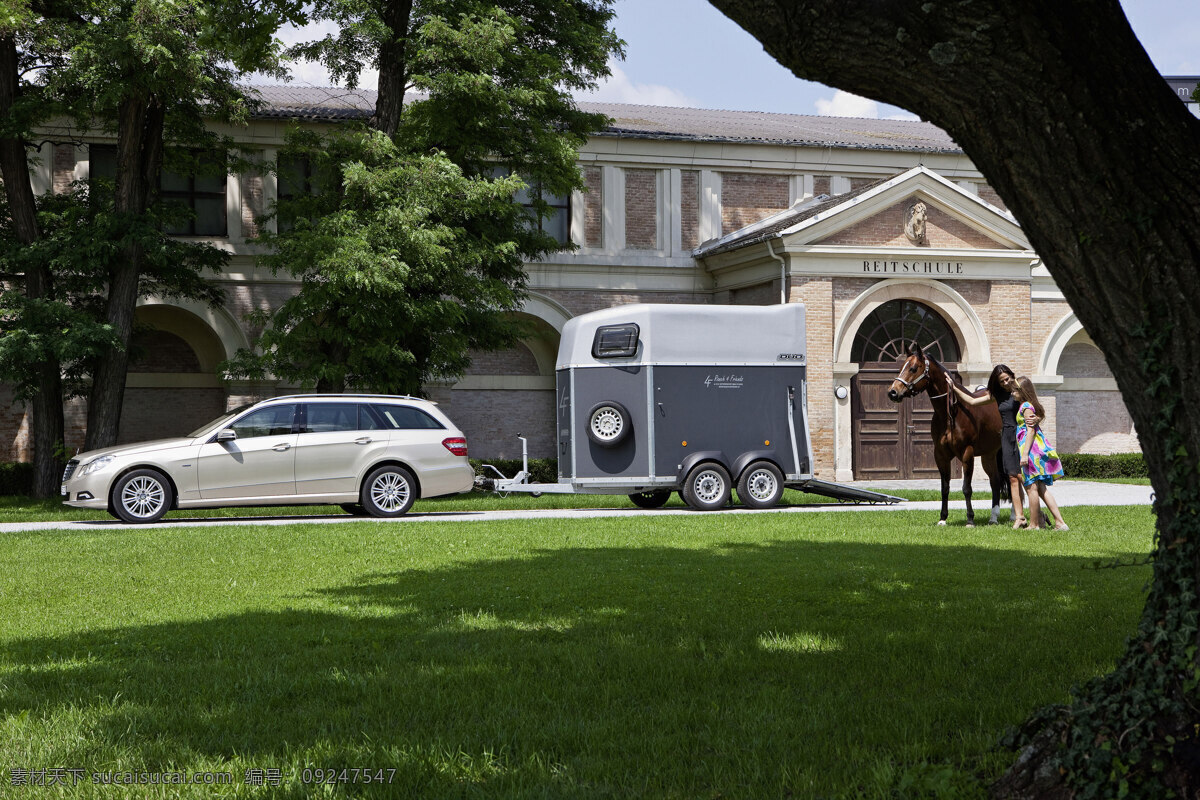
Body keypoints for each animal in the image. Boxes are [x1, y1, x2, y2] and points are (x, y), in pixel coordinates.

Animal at [888, 343, 1008, 525]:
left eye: (913, 368)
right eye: (901, 367)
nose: (893, 392)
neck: (951, 413)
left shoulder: (967, 454)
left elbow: (966, 488)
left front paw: (970, 519)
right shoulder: (941, 455)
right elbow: (944, 488)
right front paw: (943, 518)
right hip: (989, 454)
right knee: (995, 481)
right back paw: (993, 518)